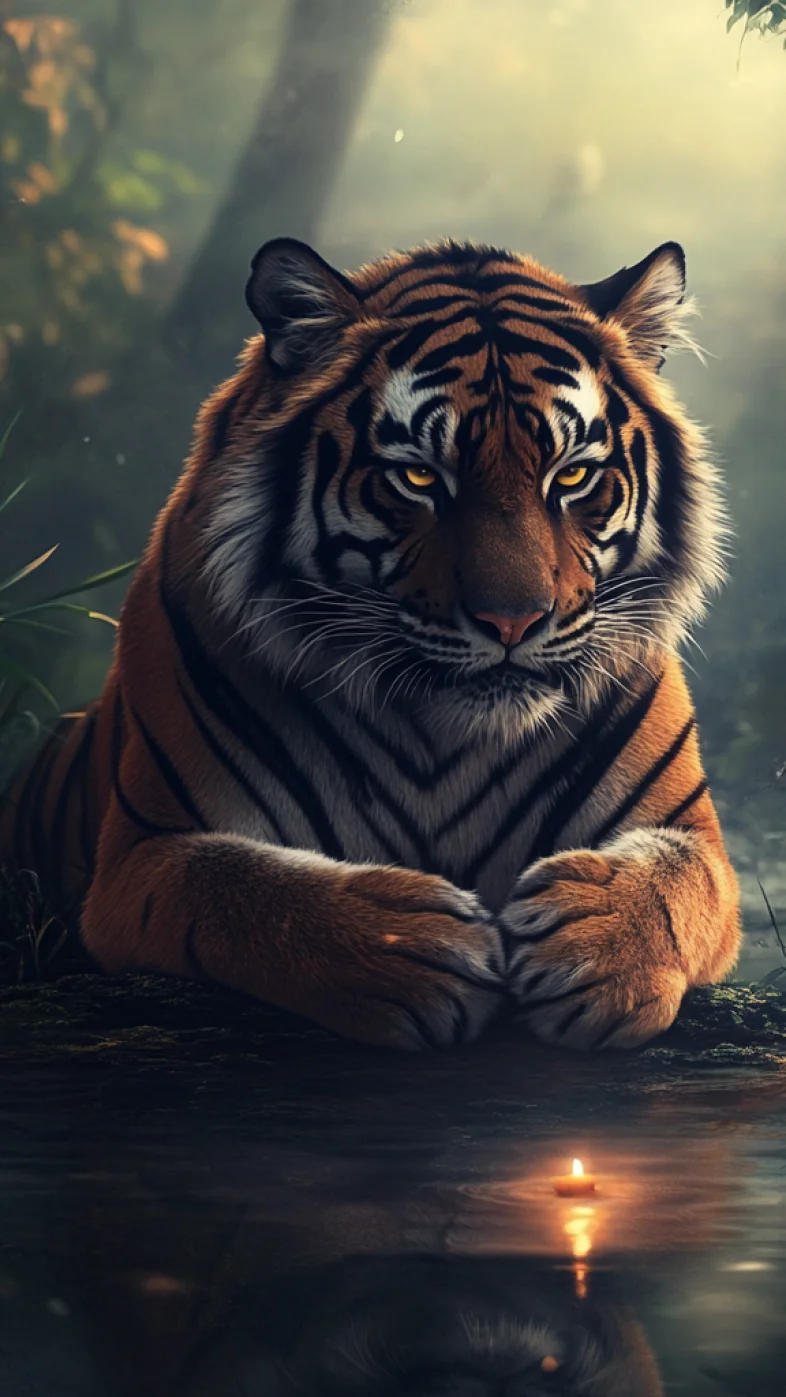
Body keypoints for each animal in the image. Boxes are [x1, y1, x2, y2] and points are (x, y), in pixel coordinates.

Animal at [0, 234, 741, 1051]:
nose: (513, 622)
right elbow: (243, 892)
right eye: (417, 477)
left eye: (573, 474)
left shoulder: (692, 836)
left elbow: (675, 885)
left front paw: (593, 946)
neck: (448, 739)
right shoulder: (145, 856)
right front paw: (410, 947)